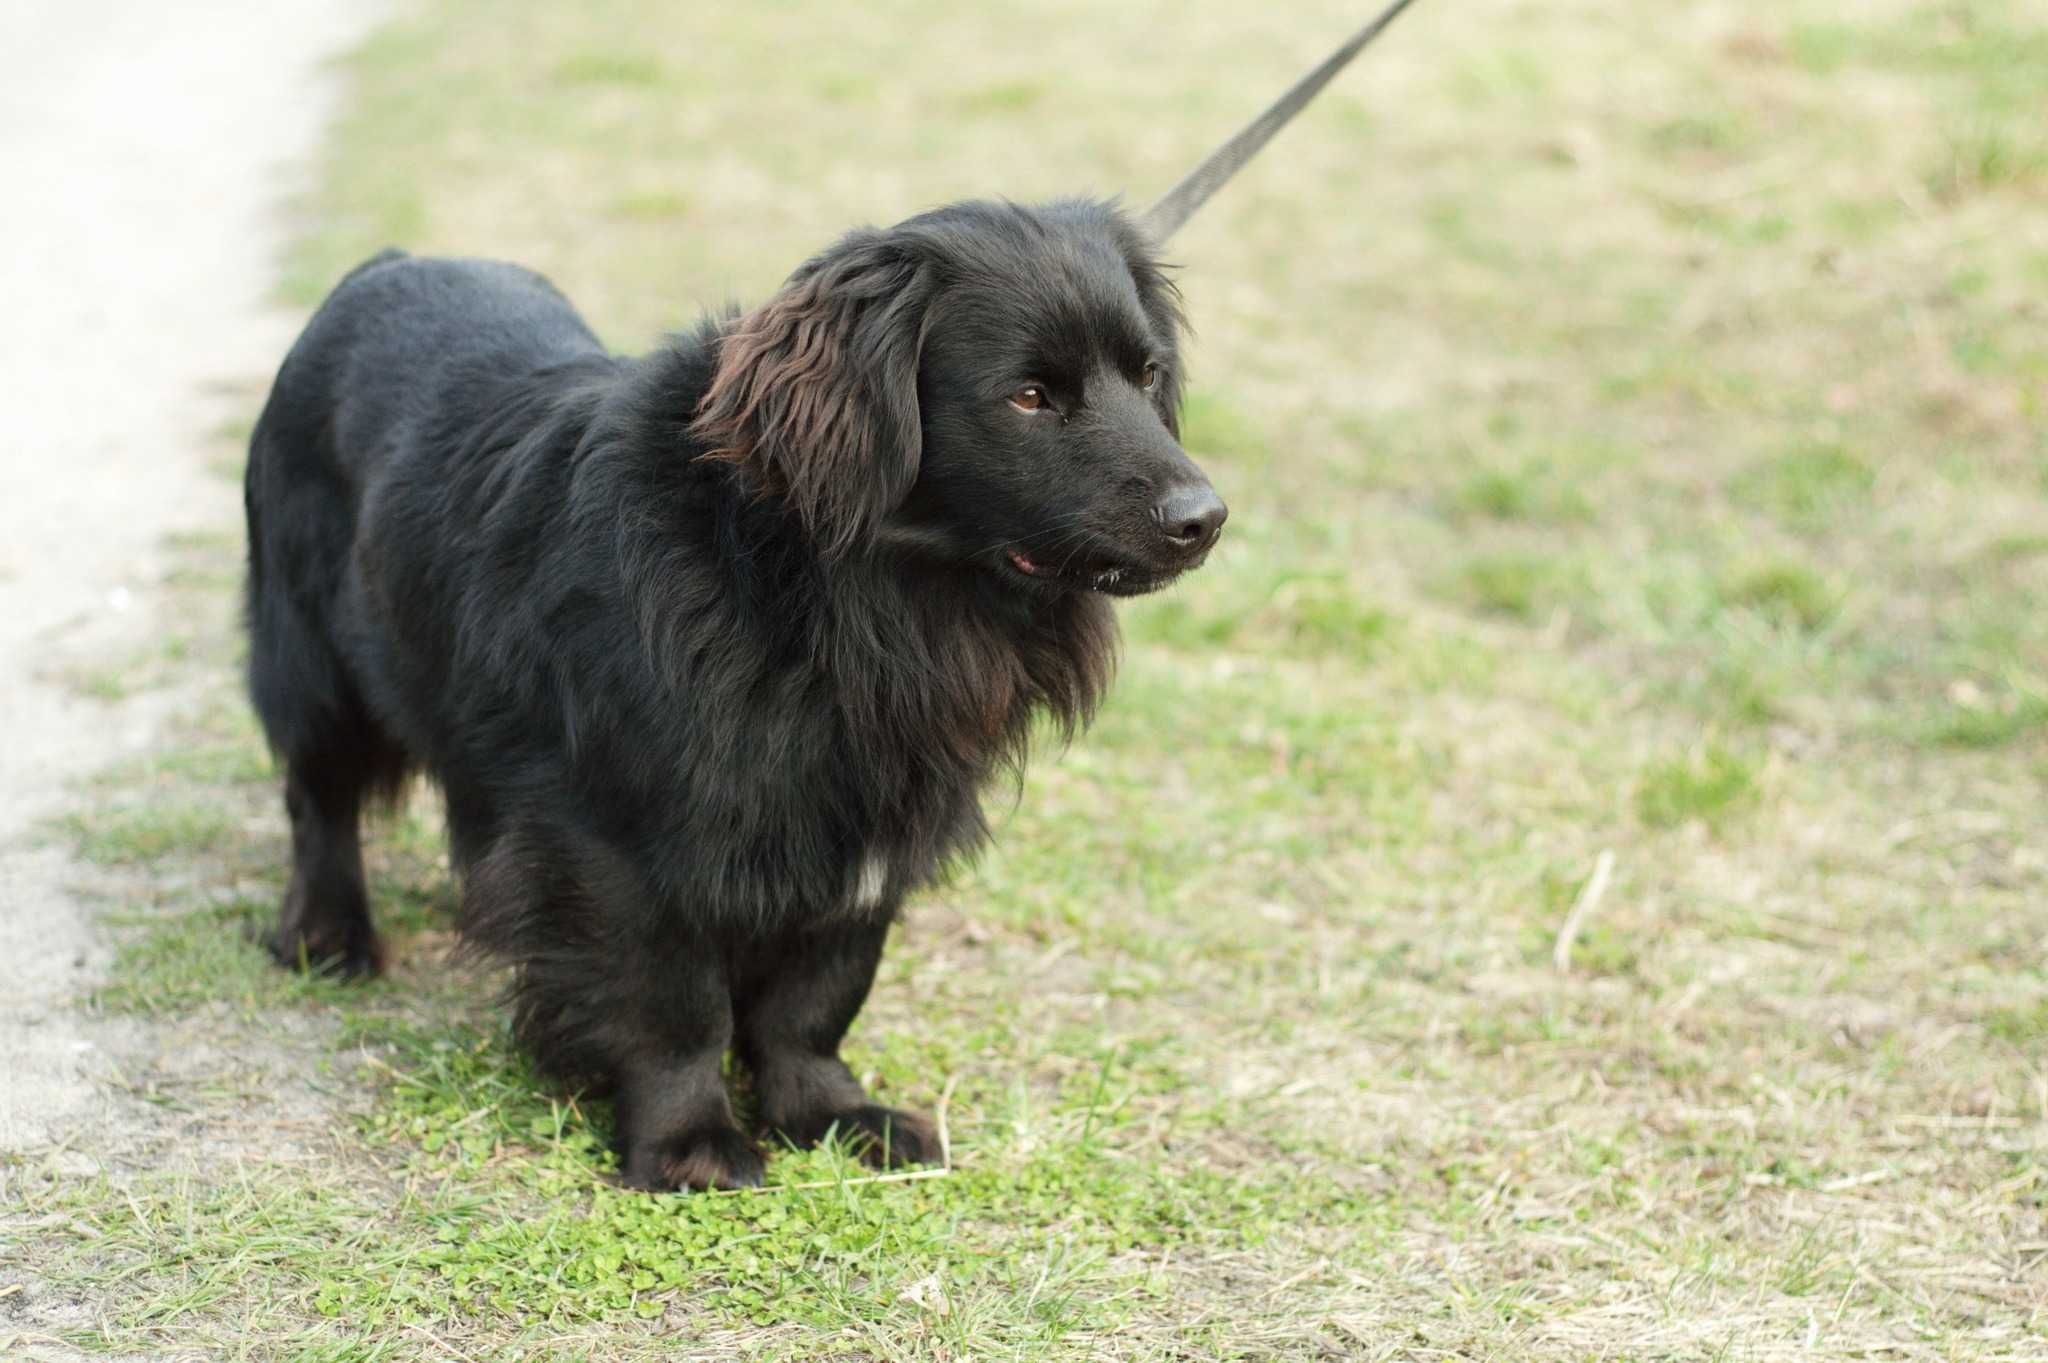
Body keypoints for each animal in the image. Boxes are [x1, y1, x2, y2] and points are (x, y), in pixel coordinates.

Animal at [247, 196, 1220, 1186]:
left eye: (1147, 375)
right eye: (1028, 397)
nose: (1203, 518)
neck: (850, 598)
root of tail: (385, 264)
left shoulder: (869, 819)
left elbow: (818, 990)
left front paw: (829, 1113)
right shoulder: (616, 835)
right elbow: (671, 1001)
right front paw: (690, 1146)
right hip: (312, 657)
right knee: (318, 796)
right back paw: (327, 933)